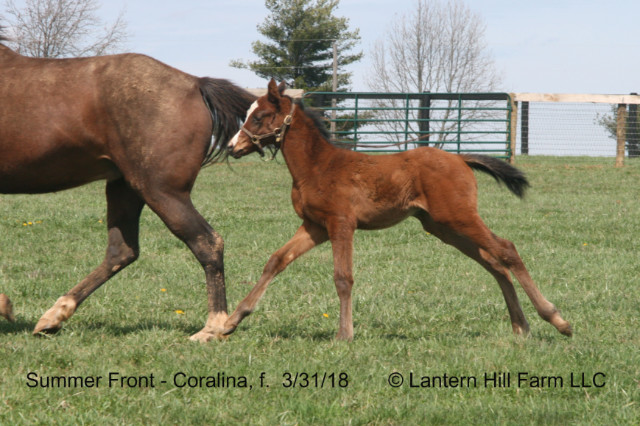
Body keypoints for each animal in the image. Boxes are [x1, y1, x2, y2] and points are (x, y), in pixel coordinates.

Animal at [0, 31, 255, 342]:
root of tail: (196, 82)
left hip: (161, 191)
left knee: (207, 242)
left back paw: (213, 328)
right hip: (125, 188)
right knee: (122, 251)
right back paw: (53, 317)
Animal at [224, 79, 568, 340]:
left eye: (260, 116)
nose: (231, 147)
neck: (317, 167)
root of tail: (460, 158)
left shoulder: (341, 224)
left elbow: (342, 277)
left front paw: (344, 334)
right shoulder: (315, 226)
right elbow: (276, 261)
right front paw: (230, 321)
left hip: (459, 217)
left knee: (506, 250)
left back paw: (557, 320)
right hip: (442, 227)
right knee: (494, 262)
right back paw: (521, 326)